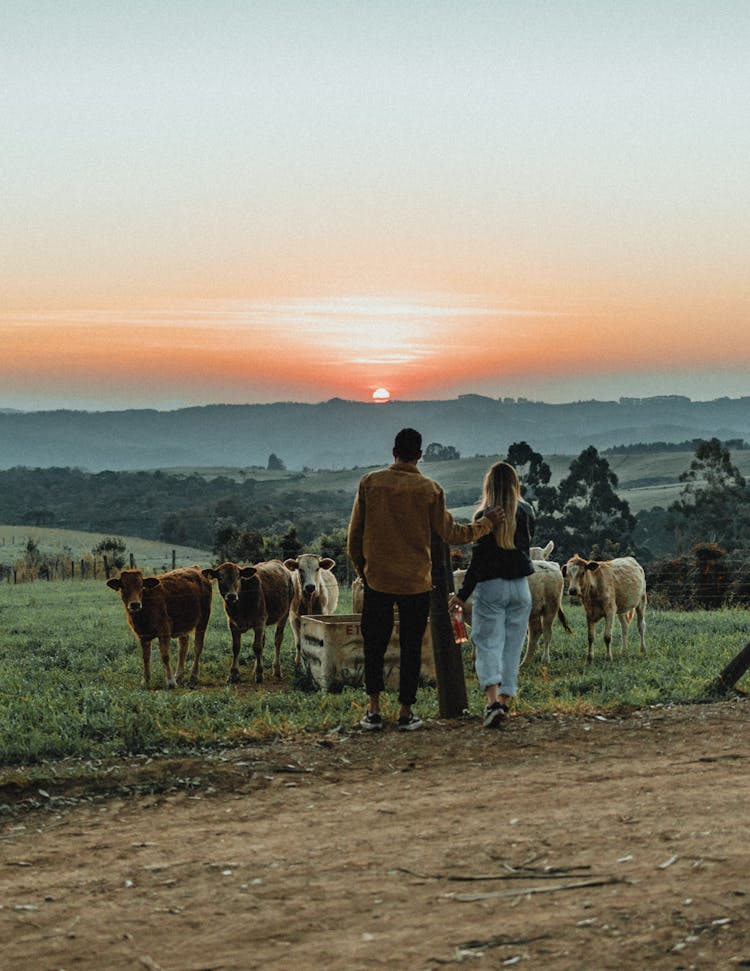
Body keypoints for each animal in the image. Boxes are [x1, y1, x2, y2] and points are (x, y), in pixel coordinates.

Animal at [201, 560, 296, 688]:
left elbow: (257, 646)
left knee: (277, 640)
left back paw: (276, 669)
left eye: (238, 577)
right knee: (263, 641)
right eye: (220, 578)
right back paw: (256, 668)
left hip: (284, 615)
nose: (231, 595)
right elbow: (236, 647)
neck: (241, 604)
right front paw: (233, 674)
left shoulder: (259, 622)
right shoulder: (232, 624)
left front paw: (259, 674)